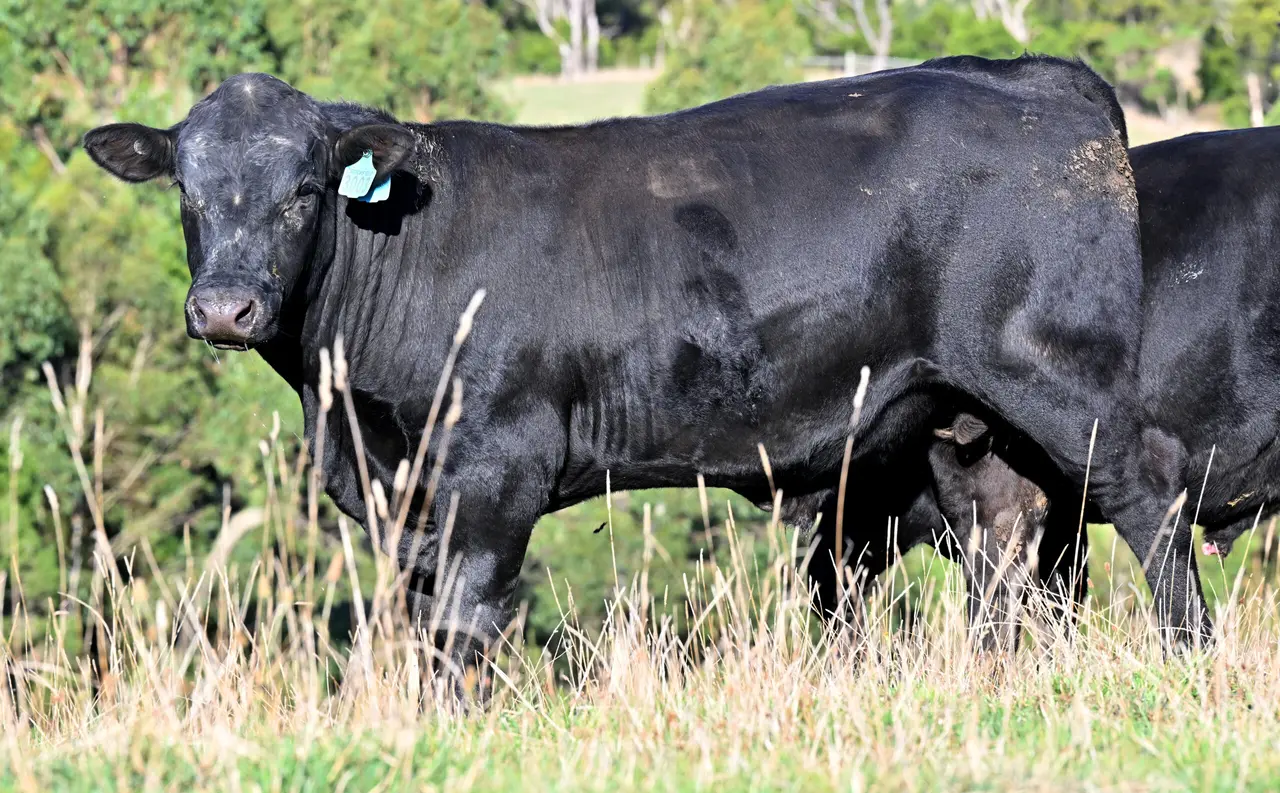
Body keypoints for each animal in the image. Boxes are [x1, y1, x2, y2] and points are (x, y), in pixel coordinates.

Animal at [83, 54, 1188, 699]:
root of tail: (1034, 72)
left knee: (1149, 495)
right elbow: (410, 615)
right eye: (188, 193)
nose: (225, 308)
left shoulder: (498, 460)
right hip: (960, 420)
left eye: (305, 191)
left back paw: (1186, 653)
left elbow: (464, 615)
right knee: (1003, 545)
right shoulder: (397, 484)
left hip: (1060, 377)